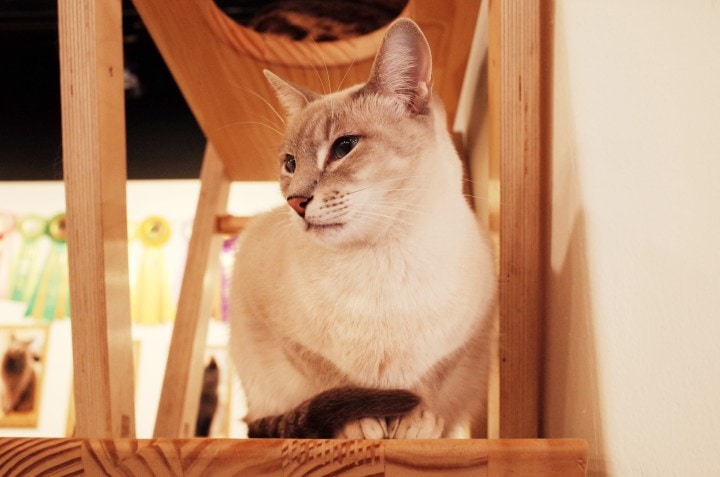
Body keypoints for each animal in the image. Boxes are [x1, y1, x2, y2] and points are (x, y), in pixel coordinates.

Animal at [231, 16, 496, 436]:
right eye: (290, 163)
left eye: (344, 147)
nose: (295, 203)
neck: (384, 255)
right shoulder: (283, 333)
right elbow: (334, 379)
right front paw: (364, 426)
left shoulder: (464, 340)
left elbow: (426, 387)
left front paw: (414, 425)